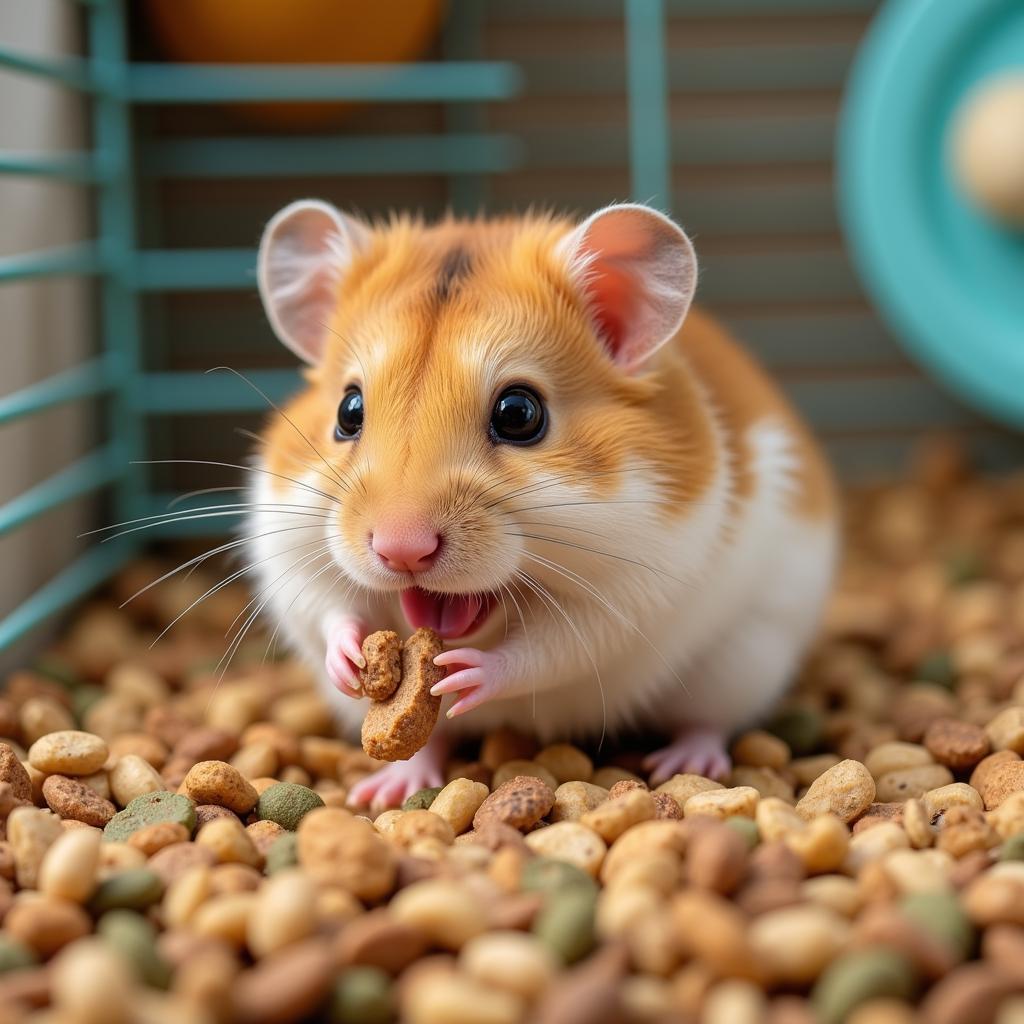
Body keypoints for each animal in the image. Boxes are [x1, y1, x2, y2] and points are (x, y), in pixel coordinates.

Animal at [247, 201, 839, 806]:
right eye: (348, 411)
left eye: (519, 414)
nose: (401, 551)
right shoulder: (290, 556)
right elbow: (329, 609)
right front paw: (351, 662)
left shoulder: (628, 595)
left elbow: (545, 652)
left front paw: (463, 672)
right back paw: (387, 788)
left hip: (741, 663)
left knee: (709, 721)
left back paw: (683, 761)